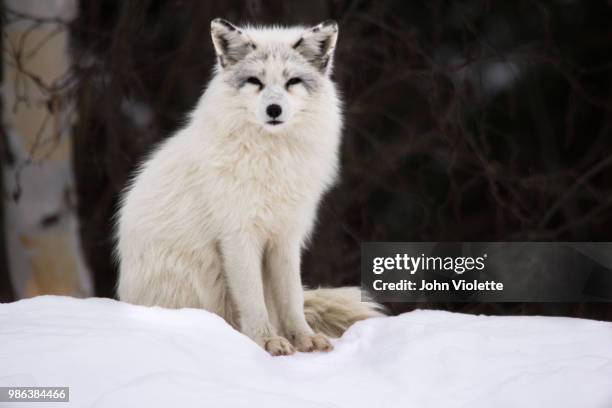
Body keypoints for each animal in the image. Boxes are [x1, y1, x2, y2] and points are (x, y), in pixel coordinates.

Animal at [115, 18, 382, 354]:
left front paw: (304, 339)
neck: (270, 159)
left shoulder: (285, 237)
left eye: (293, 81)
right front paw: (268, 342)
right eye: (255, 81)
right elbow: (254, 301)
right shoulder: (238, 236)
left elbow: (292, 298)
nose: (273, 110)